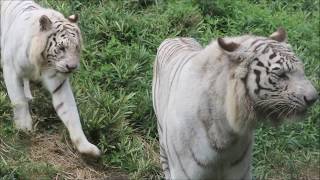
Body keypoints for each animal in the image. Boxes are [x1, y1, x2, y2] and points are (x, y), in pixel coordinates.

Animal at [0, 0, 100, 156]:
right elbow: (19, 101)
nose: (72, 67)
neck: (42, 62)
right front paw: (24, 127)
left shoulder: (58, 81)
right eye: (61, 48)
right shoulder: (11, 69)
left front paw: (86, 147)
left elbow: (70, 112)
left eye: (76, 47)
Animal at [152, 28, 318, 179]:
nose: (314, 98)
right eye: (281, 75)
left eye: (302, 69)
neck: (225, 135)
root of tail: (176, 37)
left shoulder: (240, 173)